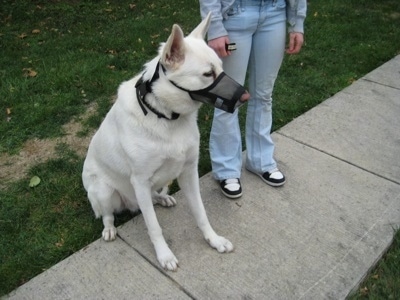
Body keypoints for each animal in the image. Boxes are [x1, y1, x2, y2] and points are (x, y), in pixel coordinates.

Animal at [83, 13, 248, 272]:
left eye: (221, 69)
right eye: (207, 74)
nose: (246, 96)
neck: (165, 115)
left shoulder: (189, 172)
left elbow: (201, 213)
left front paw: (214, 240)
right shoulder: (139, 181)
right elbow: (154, 227)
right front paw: (164, 256)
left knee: (153, 197)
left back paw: (162, 198)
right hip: (104, 190)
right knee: (108, 214)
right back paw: (110, 229)